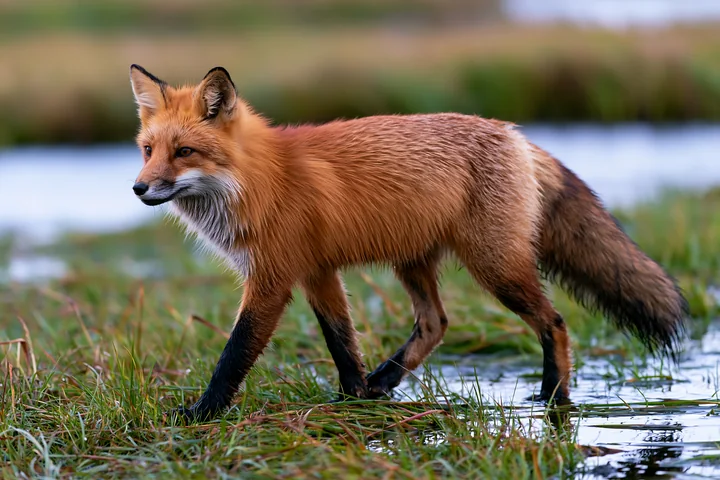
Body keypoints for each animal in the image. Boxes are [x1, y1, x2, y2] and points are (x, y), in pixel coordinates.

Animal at [129, 64, 688, 422]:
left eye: (184, 152)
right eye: (147, 150)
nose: (138, 189)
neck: (259, 180)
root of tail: (514, 133)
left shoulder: (273, 280)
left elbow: (234, 354)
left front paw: (201, 413)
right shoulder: (317, 272)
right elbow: (342, 342)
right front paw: (354, 397)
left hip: (495, 267)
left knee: (554, 321)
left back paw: (554, 395)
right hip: (413, 262)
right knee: (436, 323)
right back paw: (384, 381)